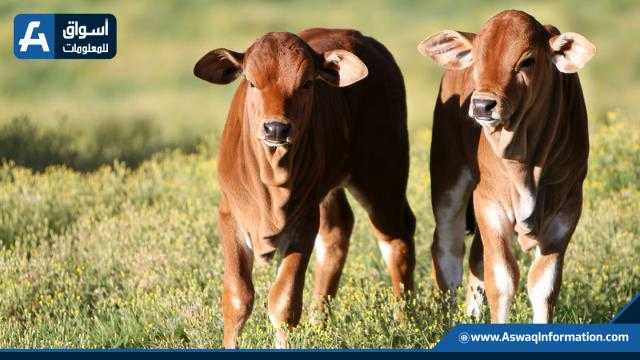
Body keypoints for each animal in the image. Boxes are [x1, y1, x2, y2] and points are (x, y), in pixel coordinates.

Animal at [194, 28, 416, 348]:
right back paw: (318, 322)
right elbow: (237, 298)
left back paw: (405, 322)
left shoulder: (303, 223)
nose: (276, 128)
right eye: (251, 81)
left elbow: (283, 302)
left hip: (383, 173)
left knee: (396, 236)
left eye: (307, 83)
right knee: (338, 230)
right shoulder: (230, 215)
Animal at [420, 9, 596, 322]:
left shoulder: (567, 209)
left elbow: (543, 285)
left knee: (476, 258)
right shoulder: (489, 203)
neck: (526, 166)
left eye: (527, 61)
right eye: (476, 59)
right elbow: (502, 280)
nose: (482, 105)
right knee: (448, 251)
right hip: (448, 180)